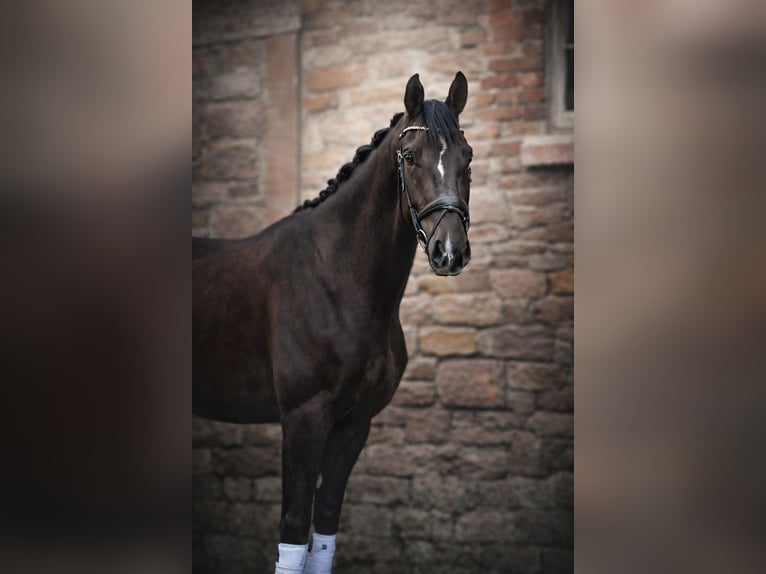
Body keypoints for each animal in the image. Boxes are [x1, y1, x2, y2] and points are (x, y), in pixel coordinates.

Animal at [193, 72, 473, 574]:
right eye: (410, 157)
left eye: (468, 157)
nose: (449, 251)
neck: (337, 277)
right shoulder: (303, 420)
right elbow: (292, 530)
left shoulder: (352, 425)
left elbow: (322, 527)